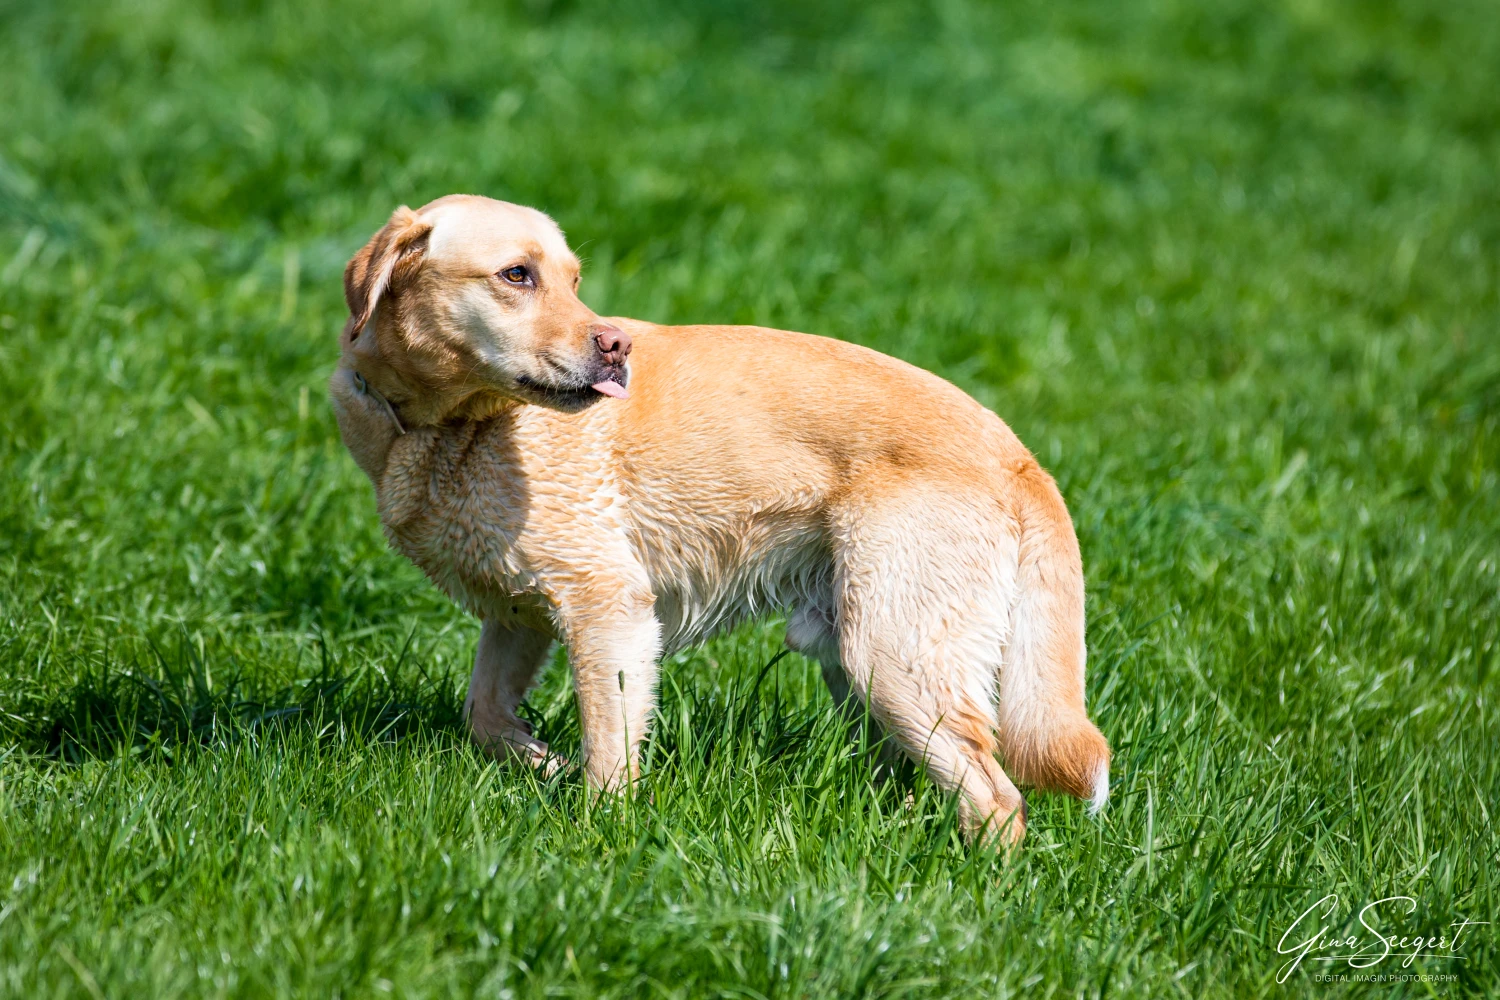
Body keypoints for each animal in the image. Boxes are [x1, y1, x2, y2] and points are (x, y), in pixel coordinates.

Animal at [331, 193, 1116, 845]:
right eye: (517, 275)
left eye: (573, 282)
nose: (614, 346)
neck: (444, 428)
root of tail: (1018, 454)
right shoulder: (519, 612)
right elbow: (486, 715)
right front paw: (545, 765)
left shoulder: (607, 610)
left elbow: (609, 754)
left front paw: (599, 831)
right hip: (856, 658)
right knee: (918, 776)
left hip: (892, 654)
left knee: (997, 800)